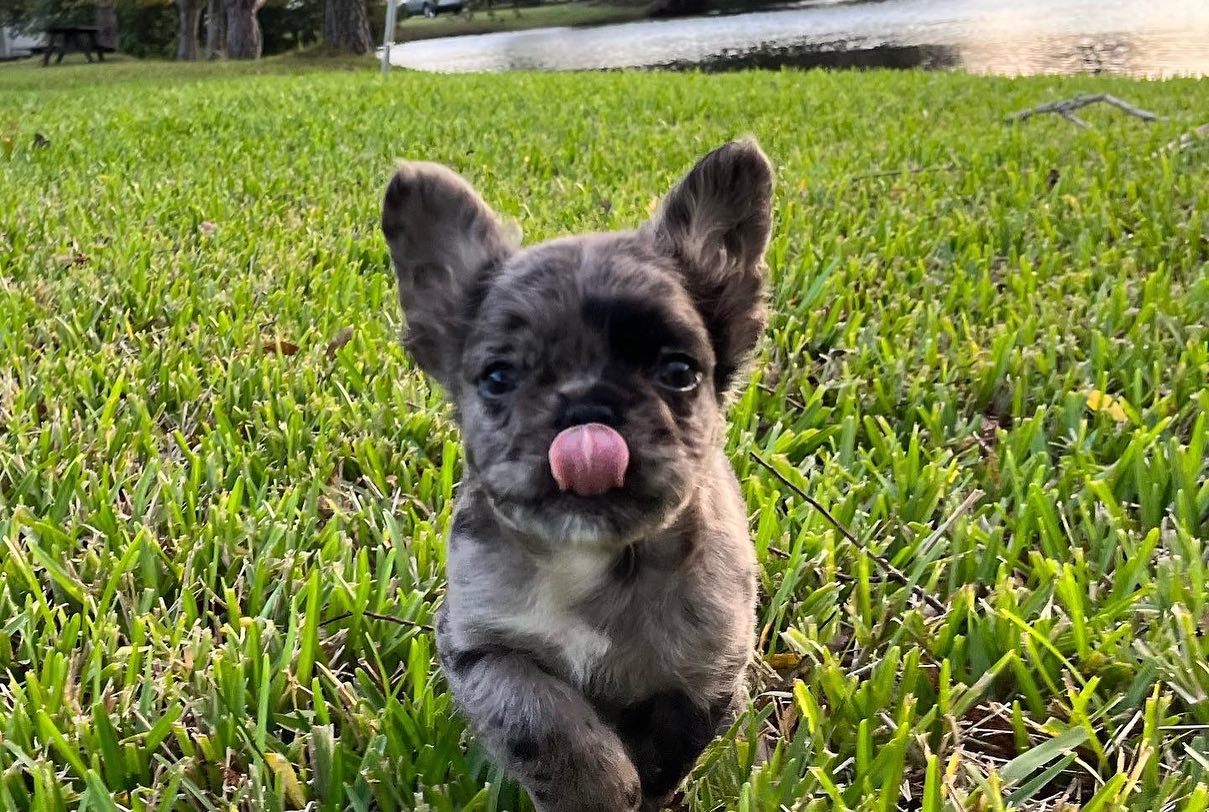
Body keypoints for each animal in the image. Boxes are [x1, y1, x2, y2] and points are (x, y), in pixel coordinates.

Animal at [381, 138, 774, 812]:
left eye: (679, 373)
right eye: (497, 378)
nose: (586, 411)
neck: (590, 559)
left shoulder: (706, 671)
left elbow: (669, 746)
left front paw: (641, 786)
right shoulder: (482, 644)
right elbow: (535, 714)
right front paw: (595, 783)